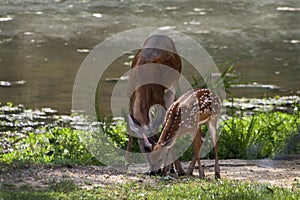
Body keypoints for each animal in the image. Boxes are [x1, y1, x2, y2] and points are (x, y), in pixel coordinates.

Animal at [126, 34, 184, 175]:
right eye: (145, 148)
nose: (154, 171)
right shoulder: (130, 97)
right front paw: (126, 163)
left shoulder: (160, 98)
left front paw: (171, 168)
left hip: (172, 87)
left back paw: (175, 169)